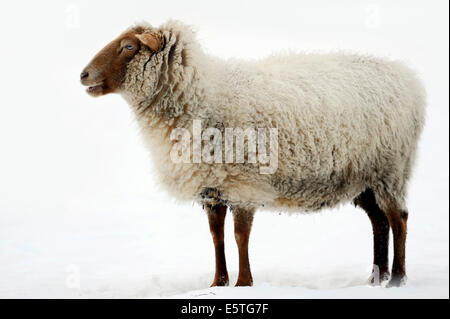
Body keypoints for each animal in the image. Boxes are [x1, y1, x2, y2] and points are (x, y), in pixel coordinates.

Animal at [80, 20, 426, 290]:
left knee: (399, 220)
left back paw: (397, 279)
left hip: (391, 169)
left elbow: (239, 236)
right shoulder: (213, 187)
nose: (83, 75)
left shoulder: (242, 182)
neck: (203, 96)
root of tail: (407, 77)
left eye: (128, 46)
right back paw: (375, 279)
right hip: (364, 177)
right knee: (379, 223)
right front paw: (217, 283)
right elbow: (216, 236)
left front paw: (244, 283)